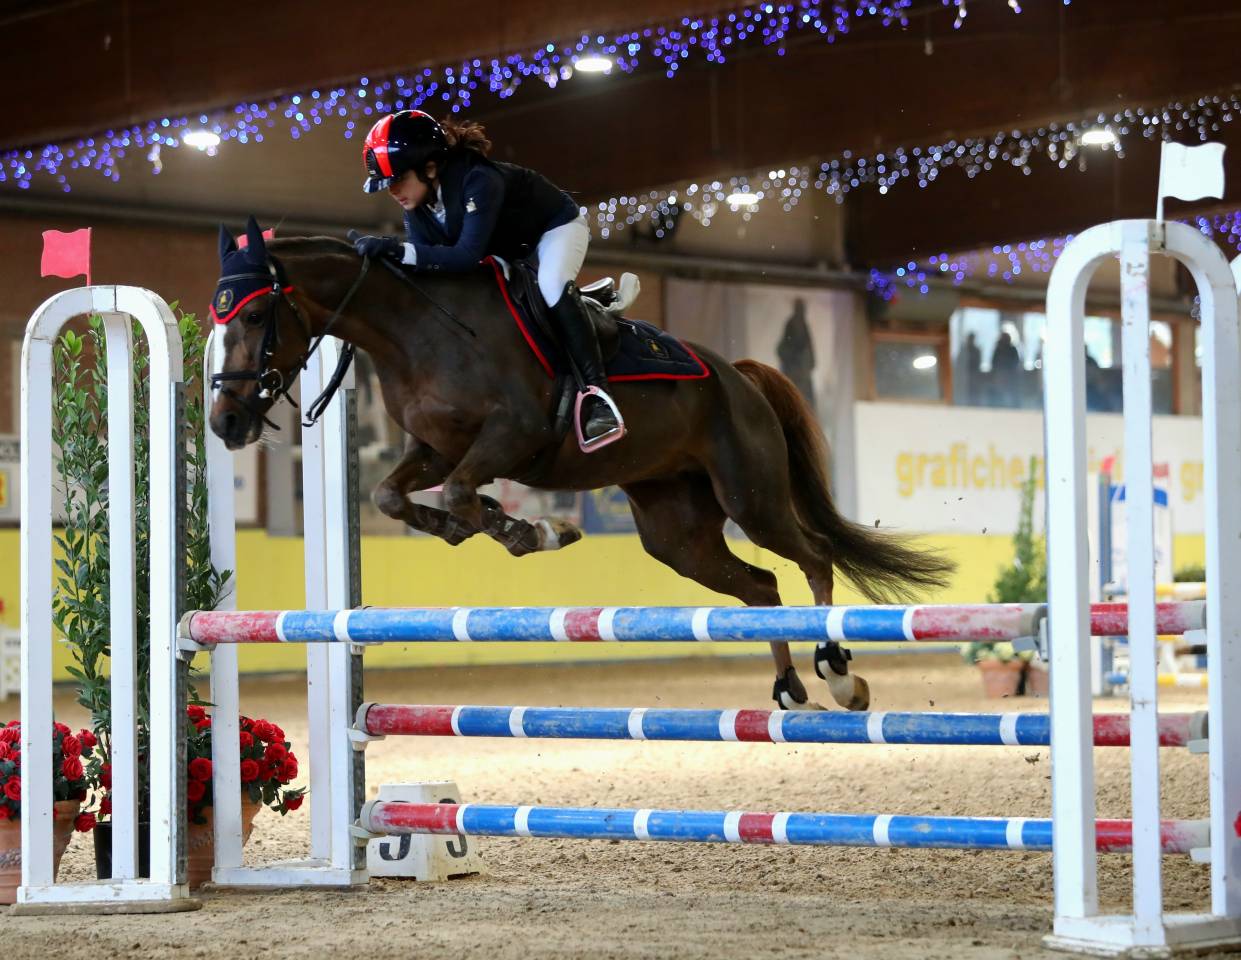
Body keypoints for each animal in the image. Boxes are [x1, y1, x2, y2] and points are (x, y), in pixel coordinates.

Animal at [208, 220, 955, 711]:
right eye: (217, 324)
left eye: (255, 318)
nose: (225, 423)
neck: (416, 328)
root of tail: (738, 375)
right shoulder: (436, 448)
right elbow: (399, 498)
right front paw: (493, 528)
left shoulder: (511, 434)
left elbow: (459, 493)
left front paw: (530, 531)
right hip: (675, 532)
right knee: (761, 587)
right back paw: (790, 688)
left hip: (752, 496)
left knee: (815, 556)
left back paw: (837, 672)